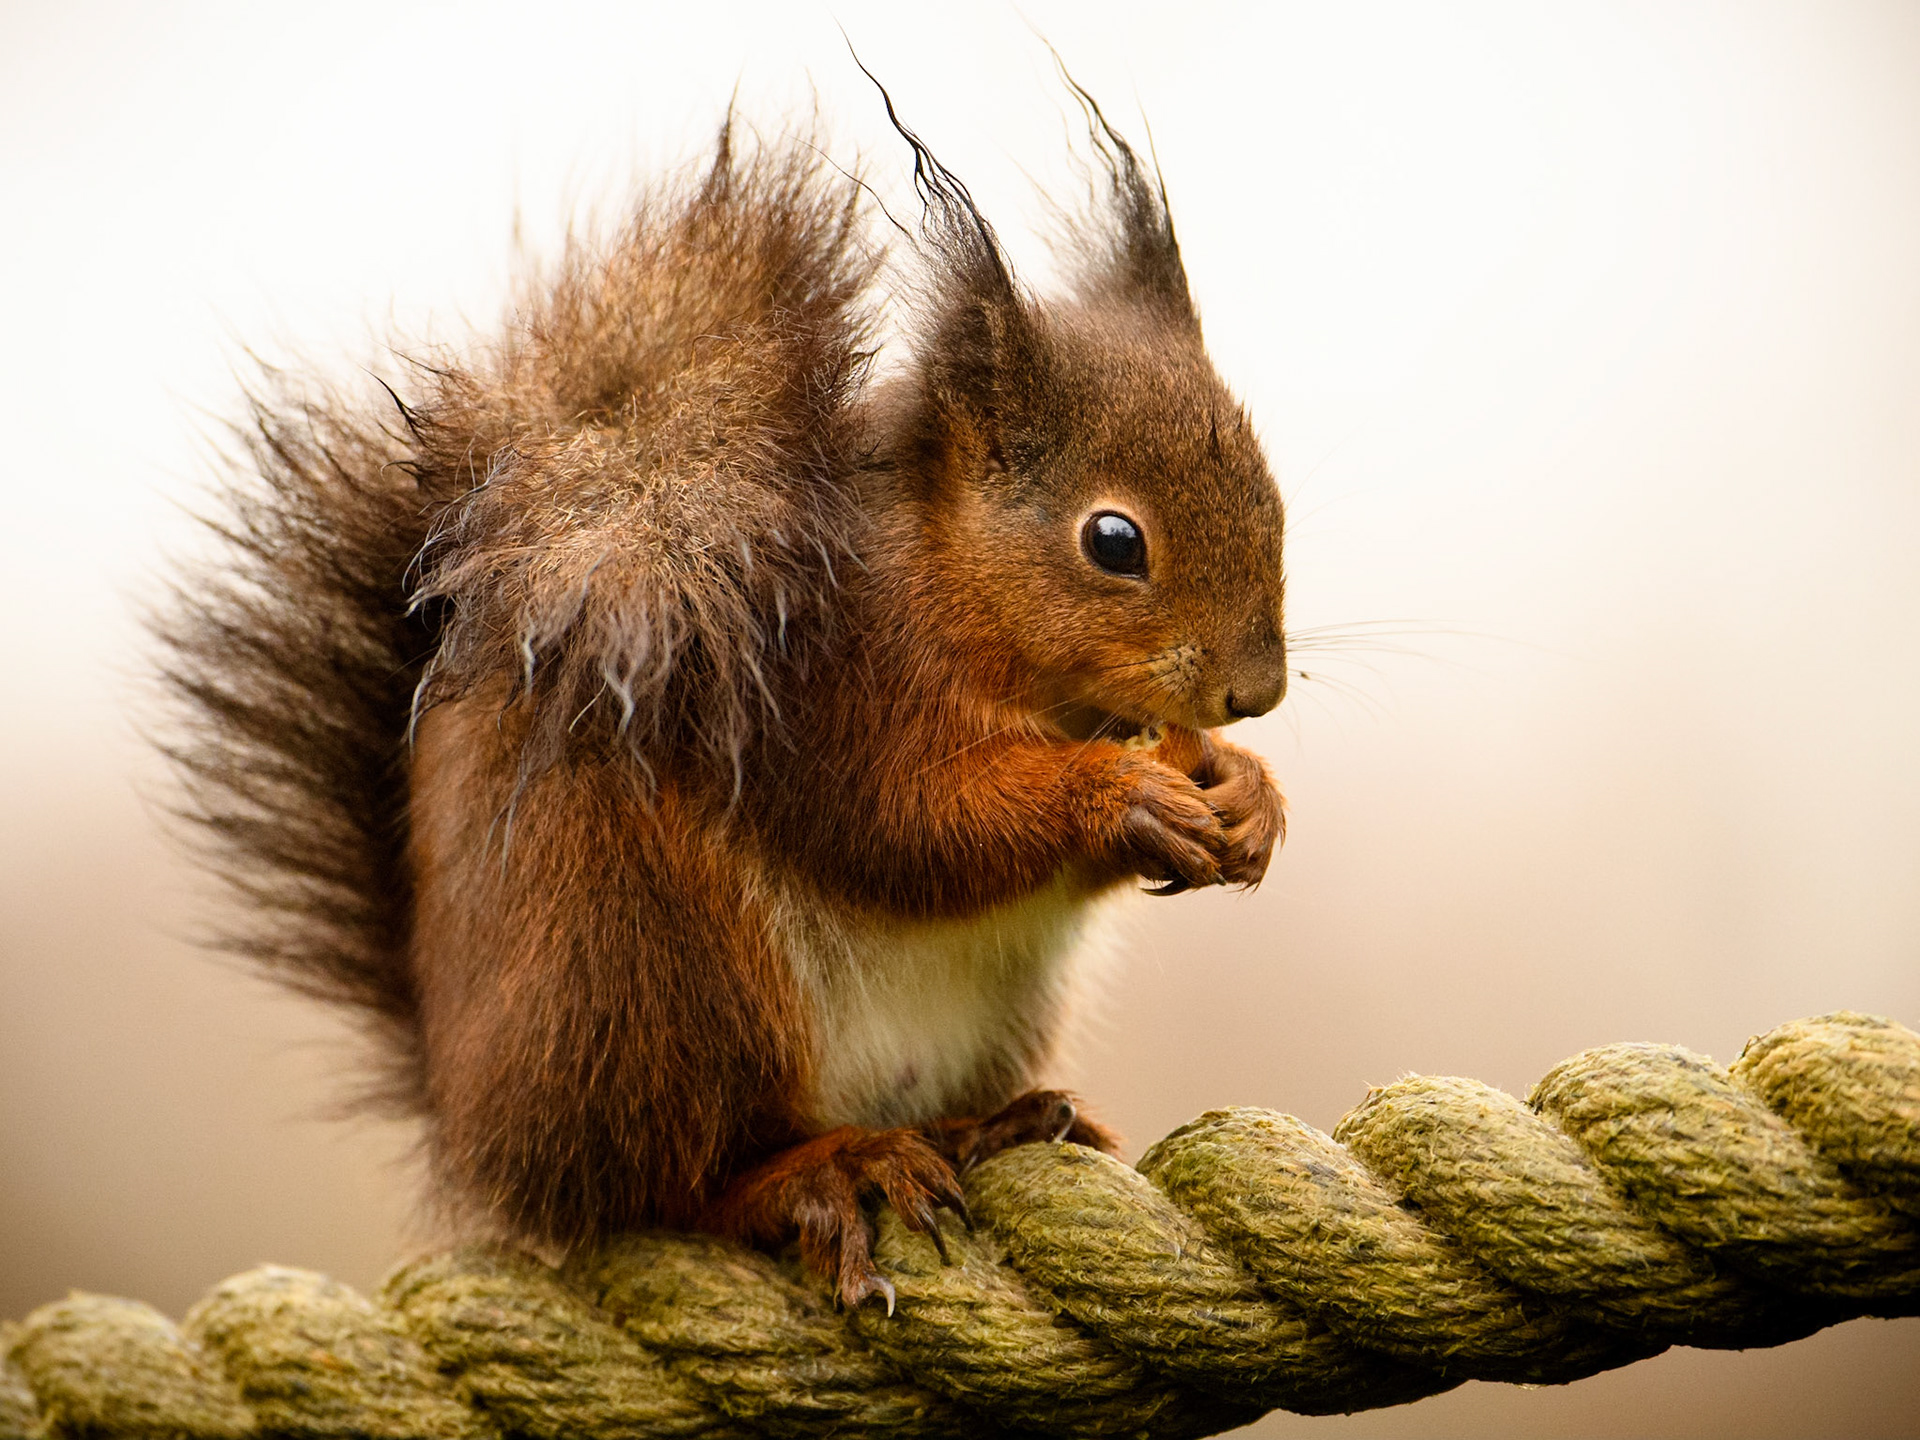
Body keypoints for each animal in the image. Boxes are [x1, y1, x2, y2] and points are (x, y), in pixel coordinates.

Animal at [158, 84, 1288, 1309]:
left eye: (1272, 493)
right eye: (1114, 541)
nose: (1258, 691)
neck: (950, 581)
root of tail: (479, 1130)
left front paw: (1247, 794)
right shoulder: (817, 684)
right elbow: (910, 823)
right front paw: (1123, 797)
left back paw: (994, 1124)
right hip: (661, 984)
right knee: (676, 1186)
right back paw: (824, 1175)